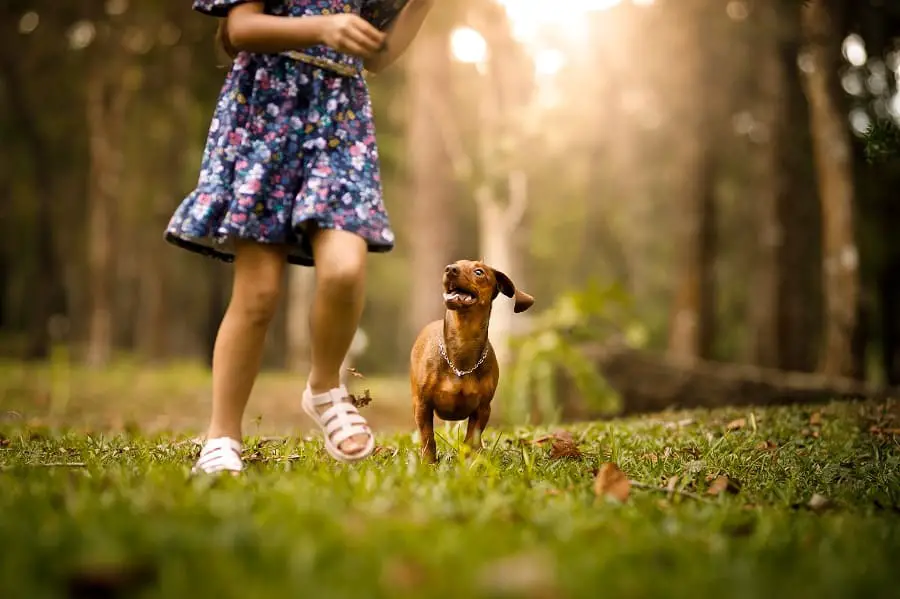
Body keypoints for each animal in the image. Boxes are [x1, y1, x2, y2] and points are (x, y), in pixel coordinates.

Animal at [410, 258, 536, 464]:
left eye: (479, 272)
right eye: (455, 264)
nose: (449, 269)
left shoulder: (482, 409)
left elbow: (471, 439)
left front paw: (468, 463)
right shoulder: (422, 405)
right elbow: (428, 437)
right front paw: (428, 464)